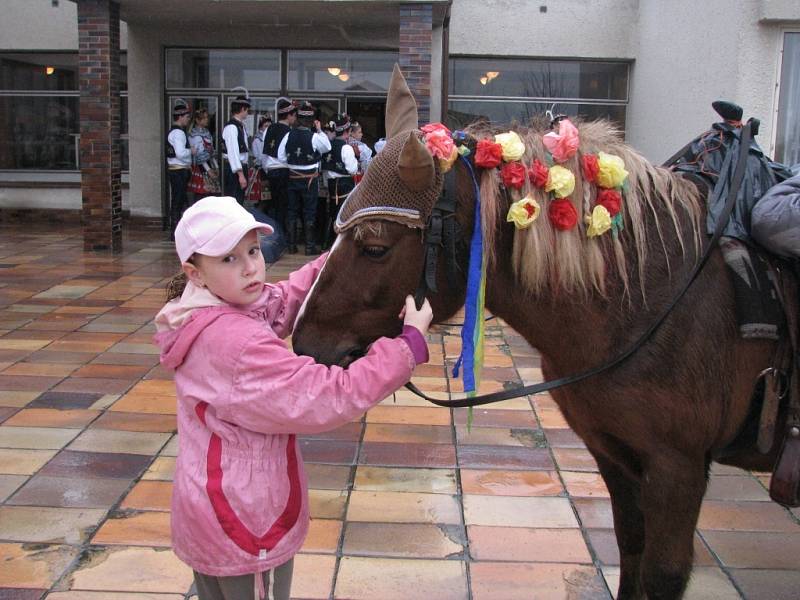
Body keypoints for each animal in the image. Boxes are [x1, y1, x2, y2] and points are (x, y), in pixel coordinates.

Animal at [292, 67, 780, 600]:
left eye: (375, 247)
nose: (302, 342)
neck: (652, 296)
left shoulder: (678, 467)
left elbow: (661, 573)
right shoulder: (615, 453)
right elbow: (629, 544)